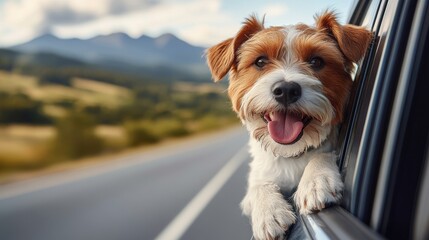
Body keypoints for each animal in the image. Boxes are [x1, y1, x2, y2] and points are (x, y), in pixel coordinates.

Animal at [206, 10, 372, 239]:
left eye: (316, 61)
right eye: (260, 61)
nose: (285, 90)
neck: (291, 152)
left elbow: (322, 154)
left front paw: (316, 180)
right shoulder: (260, 175)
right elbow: (258, 184)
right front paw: (268, 211)